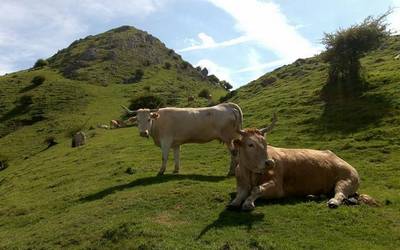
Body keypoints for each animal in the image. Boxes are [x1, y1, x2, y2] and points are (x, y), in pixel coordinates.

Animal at [228, 115, 376, 211]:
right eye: (250, 144)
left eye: (265, 143)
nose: (269, 163)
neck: (249, 173)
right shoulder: (241, 183)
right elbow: (240, 193)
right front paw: (234, 202)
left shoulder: (277, 187)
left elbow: (256, 189)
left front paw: (248, 203)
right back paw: (312, 195)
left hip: (346, 180)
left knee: (340, 194)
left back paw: (333, 202)